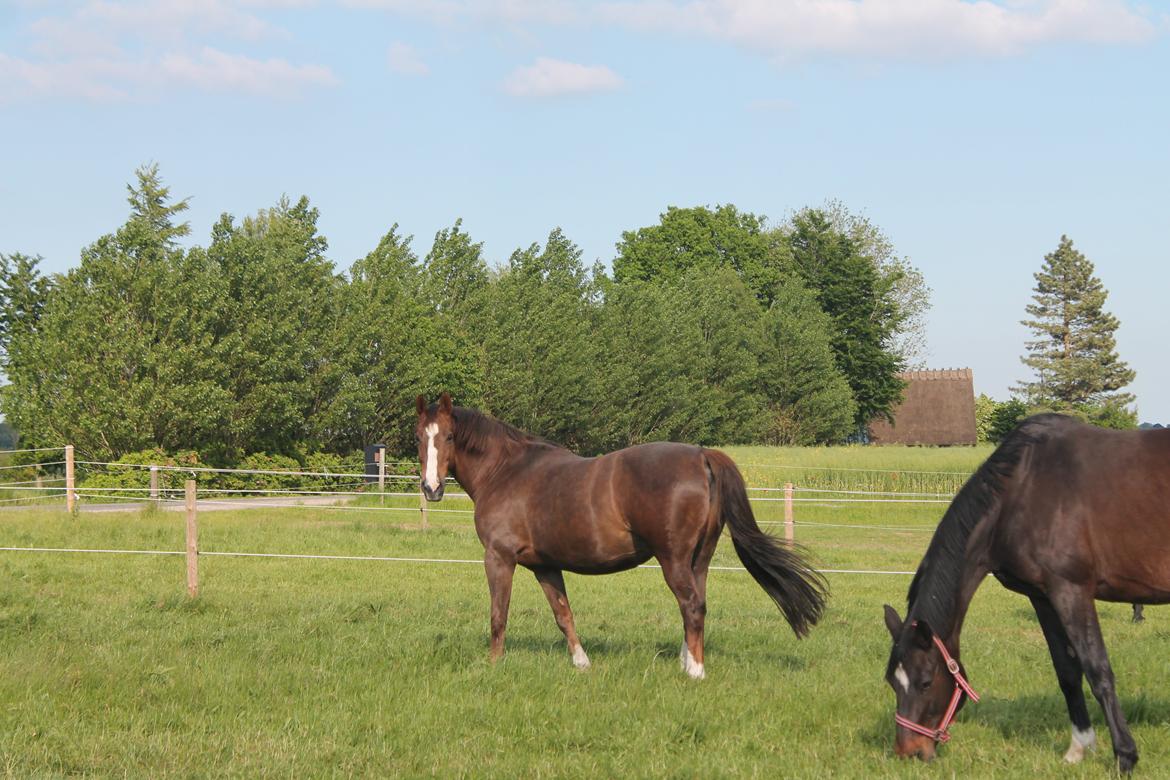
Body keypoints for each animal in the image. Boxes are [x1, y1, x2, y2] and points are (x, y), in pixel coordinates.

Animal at [416, 392, 828, 678]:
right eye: (420, 437)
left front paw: (494, 663)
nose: (431, 488)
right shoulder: (545, 566)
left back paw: (695, 672)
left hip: (674, 560)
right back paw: (687, 661)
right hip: (700, 560)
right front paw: (581, 663)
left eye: (450, 437)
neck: (506, 471)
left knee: (691, 605)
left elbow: (498, 614)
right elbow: (563, 614)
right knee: (697, 605)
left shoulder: (499, 558)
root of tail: (701, 455)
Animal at [884, 413, 1170, 776]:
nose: (909, 751)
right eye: (892, 681)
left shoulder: (1071, 590)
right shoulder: (1044, 597)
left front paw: (1125, 757)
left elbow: (1098, 671)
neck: (1023, 489)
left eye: (924, 681)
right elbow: (1067, 672)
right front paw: (1078, 747)